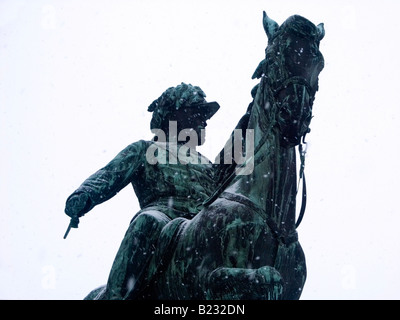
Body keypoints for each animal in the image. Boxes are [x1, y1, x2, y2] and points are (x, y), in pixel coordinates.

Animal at [86, 11, 324, 300]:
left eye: (319, 62)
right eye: (272, 56)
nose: (294, 117)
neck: (275, 224)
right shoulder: (204, 280)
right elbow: (266, 275)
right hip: (143, 234)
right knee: (145, 225)